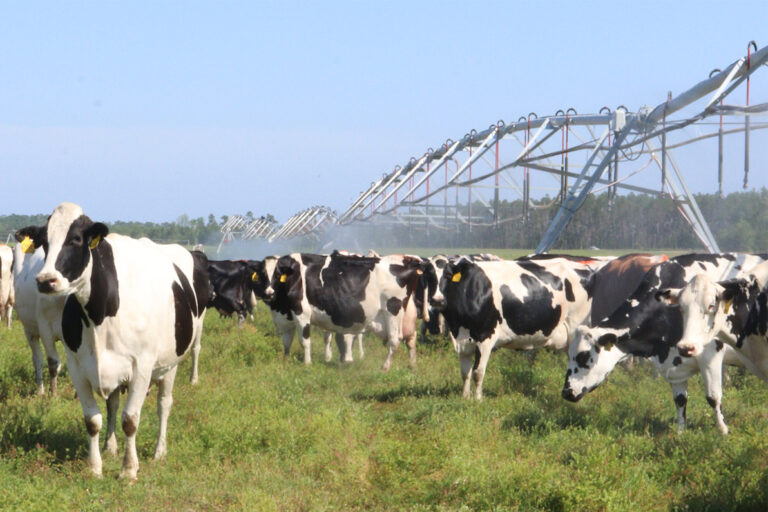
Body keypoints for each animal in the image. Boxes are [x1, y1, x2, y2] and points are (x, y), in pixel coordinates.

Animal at [11, 241, 66, 395]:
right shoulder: (46, 329)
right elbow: (53, 363)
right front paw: (54, 395)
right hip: (30, 330)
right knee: (37, 359)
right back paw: (40, 391)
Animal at [17, 202, 210, 480]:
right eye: (43, 241)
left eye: (76, 239)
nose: (45, 280)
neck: (99, 313)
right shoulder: (77, 366)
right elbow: (93, 419)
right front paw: (95, 467)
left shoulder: (142, 367)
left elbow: (130, 420)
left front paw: (128, 470)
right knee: (113, 404)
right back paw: (110, 447)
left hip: (170, 364)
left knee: (164, 404)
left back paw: (159, 452)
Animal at [265, 251, 425, 370]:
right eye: (262, 274)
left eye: (277, 275)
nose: (268, 293)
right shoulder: (288, 318)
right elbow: (287, 341)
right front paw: (286, 361)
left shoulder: (302, 313)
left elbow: (304, 341)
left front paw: (307, 364)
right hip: (407, 315)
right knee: (411, 339)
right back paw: (413, 366)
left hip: (392, 310)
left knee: (395, 340)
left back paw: (385, 367)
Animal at [429, 257, 592, 400]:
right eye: (428, 276)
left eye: (448, 275)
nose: (437, 300)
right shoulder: (463, 341)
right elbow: (465, 373)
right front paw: (465, 397)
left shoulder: (485, 337)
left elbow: (478, 372)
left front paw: (478, 400)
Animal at [562, 253, 767, 434]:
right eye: (569, 355)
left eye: (583, 357)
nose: (566, 392)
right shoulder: (674, 364)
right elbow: (680, 400)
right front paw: (680, 433)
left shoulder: (711, 353)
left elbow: (713, 397)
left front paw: (723, 431)